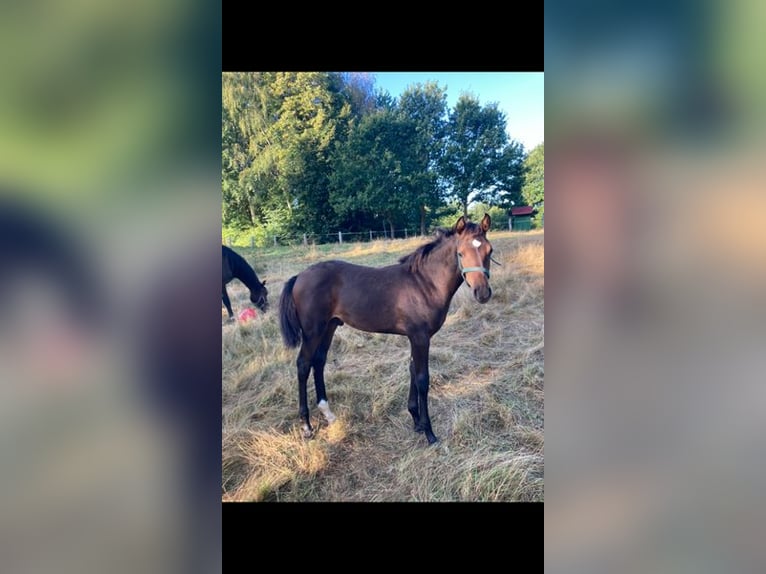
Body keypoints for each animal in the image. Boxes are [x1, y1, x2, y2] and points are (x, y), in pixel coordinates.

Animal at [280, 215, 496, 446]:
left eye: (489, 251)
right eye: (460, 253)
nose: (482, 293)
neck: (424, 284)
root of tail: (299, 276)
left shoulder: (415, 337)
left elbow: (412, 370)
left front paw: (416, 421)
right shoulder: (420, 337)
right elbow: (422, 379)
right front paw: (429, 433)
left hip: (329, 326)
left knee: (319, 361)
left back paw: (328, 414)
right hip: (312, 331)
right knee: (303, 364)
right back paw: (306, 426)